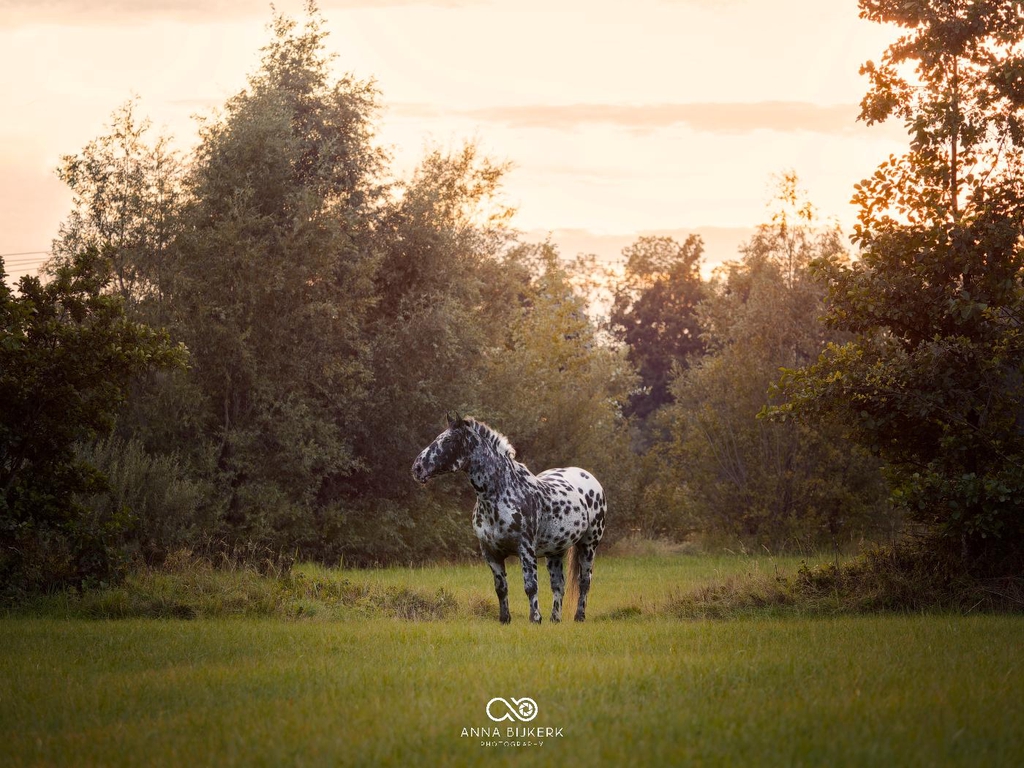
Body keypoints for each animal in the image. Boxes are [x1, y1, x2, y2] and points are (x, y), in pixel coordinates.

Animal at [411, 413, 606, 624]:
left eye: (447, 440)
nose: (417, 468)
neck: (500, 493)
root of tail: (587, 477)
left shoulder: (525, 549)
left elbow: (531, 586)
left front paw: (535, 619)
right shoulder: (491, 553)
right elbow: (501, 588)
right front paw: (505, 619)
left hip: (588, 545)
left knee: (584, 582)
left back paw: (579, 616)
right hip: (555, 550)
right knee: (558, 586)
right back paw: (555, 619)